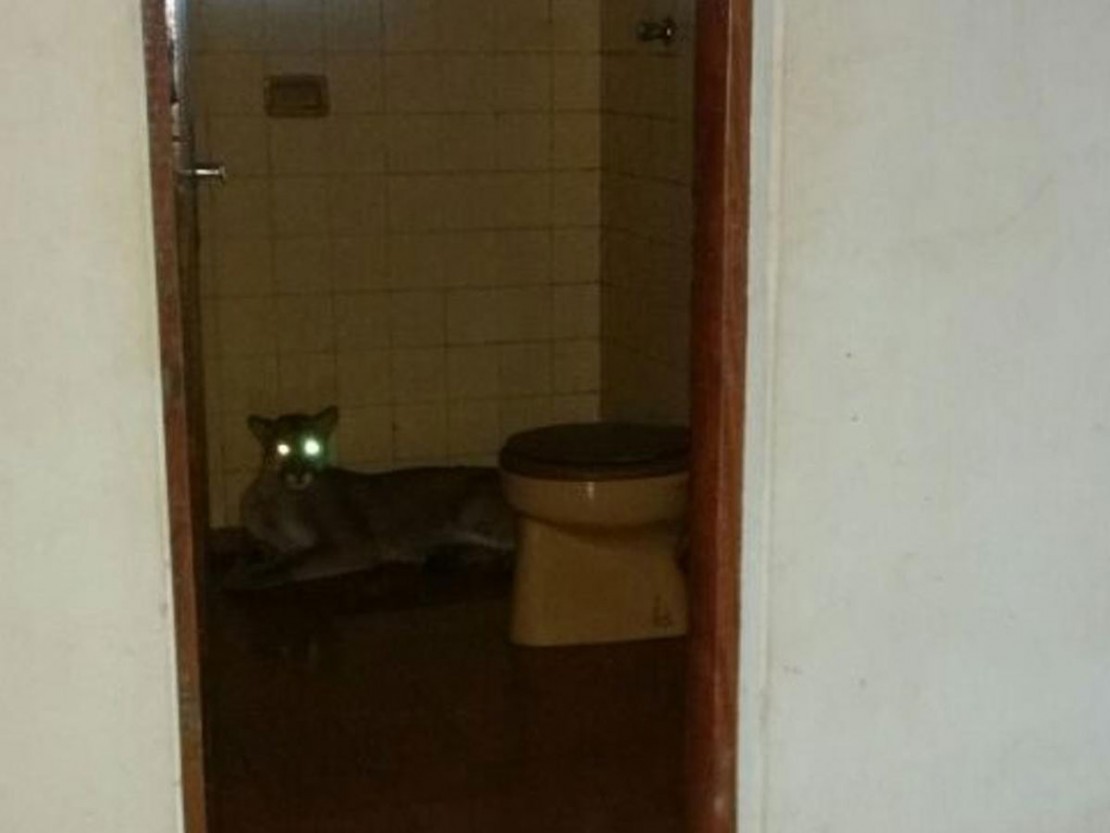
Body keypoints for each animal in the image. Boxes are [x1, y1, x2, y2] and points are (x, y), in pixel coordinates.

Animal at [230, 406, 516, 587]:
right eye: (282, 448)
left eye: (312, 446)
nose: (299, 473)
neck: (279, 494)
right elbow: (268, 549)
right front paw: (255, 560)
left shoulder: (352, 544)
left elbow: (297, 561)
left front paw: (244, 577)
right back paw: (445, 556)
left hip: (473, 513)